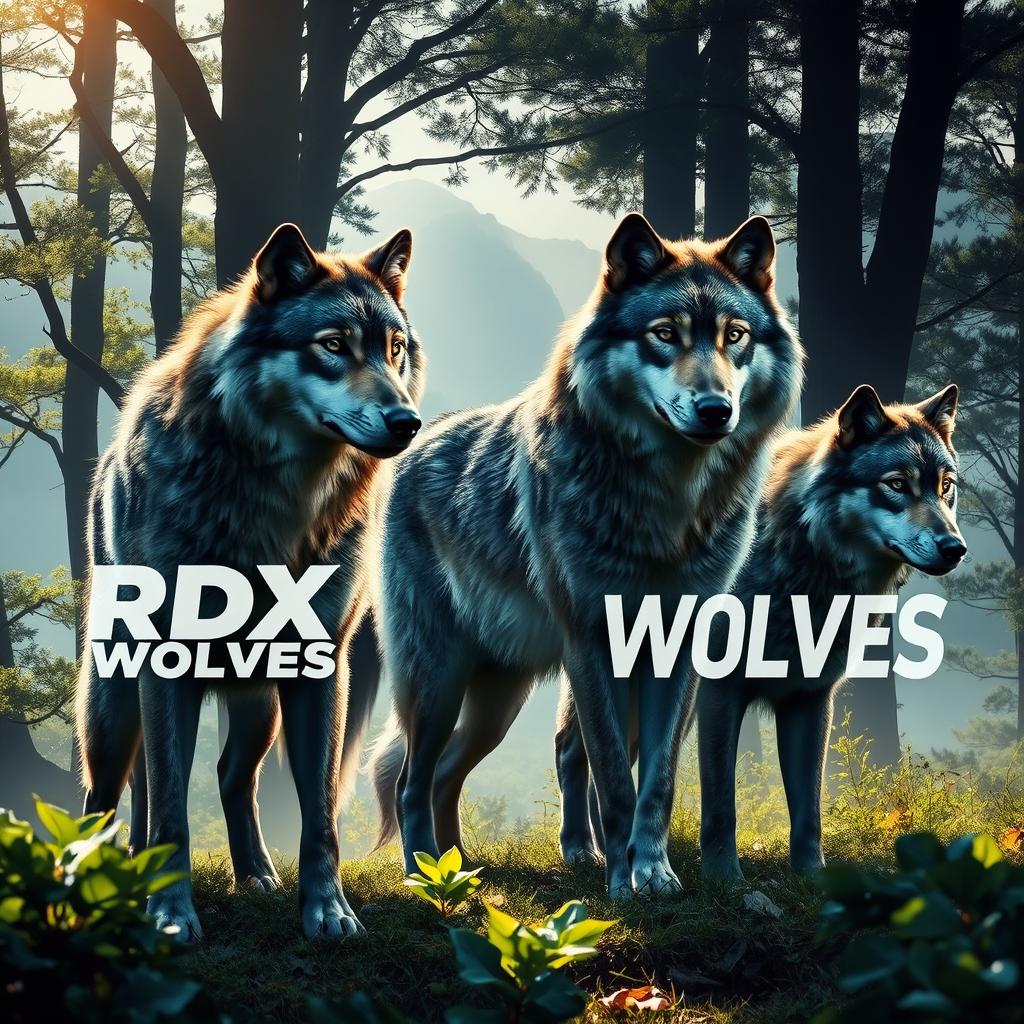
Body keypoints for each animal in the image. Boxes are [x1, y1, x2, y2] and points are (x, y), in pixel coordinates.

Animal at [75, 222, 424, 940]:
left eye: (394, 348)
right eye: (333, 346)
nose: (407, 422)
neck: (275, 504)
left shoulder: (321, 663)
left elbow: (320, 815)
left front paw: (327, 911)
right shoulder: (165, 665)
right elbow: (170, 809)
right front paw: (169, 912)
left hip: (258, 704)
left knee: (232, 776)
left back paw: (257, 875)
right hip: (114, 706)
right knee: (108, 793)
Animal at [369, 212, 804, 898]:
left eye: (733, 336)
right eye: (664, 334)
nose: (716, 409)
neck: (664, 508)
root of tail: (422, 432)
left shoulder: (677, 648)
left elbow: (658, 780)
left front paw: (656, 874)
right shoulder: (591, 643)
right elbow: (616, 782)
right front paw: (624, 884)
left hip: (497, 702)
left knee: (443, 775)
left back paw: (458, 870)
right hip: (437, 681)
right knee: (412, 780)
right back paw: (425, 880)